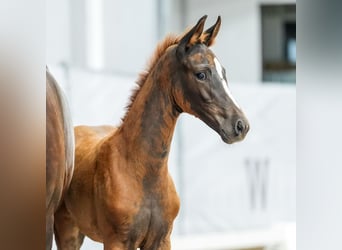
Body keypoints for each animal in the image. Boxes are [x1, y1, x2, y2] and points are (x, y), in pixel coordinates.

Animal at [54, 16, 250, 250]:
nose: (241, 125)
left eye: (224, 73)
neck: (142, 171)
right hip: (66, 230)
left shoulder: (162, 240)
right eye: (201, 74)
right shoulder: (116, 241)